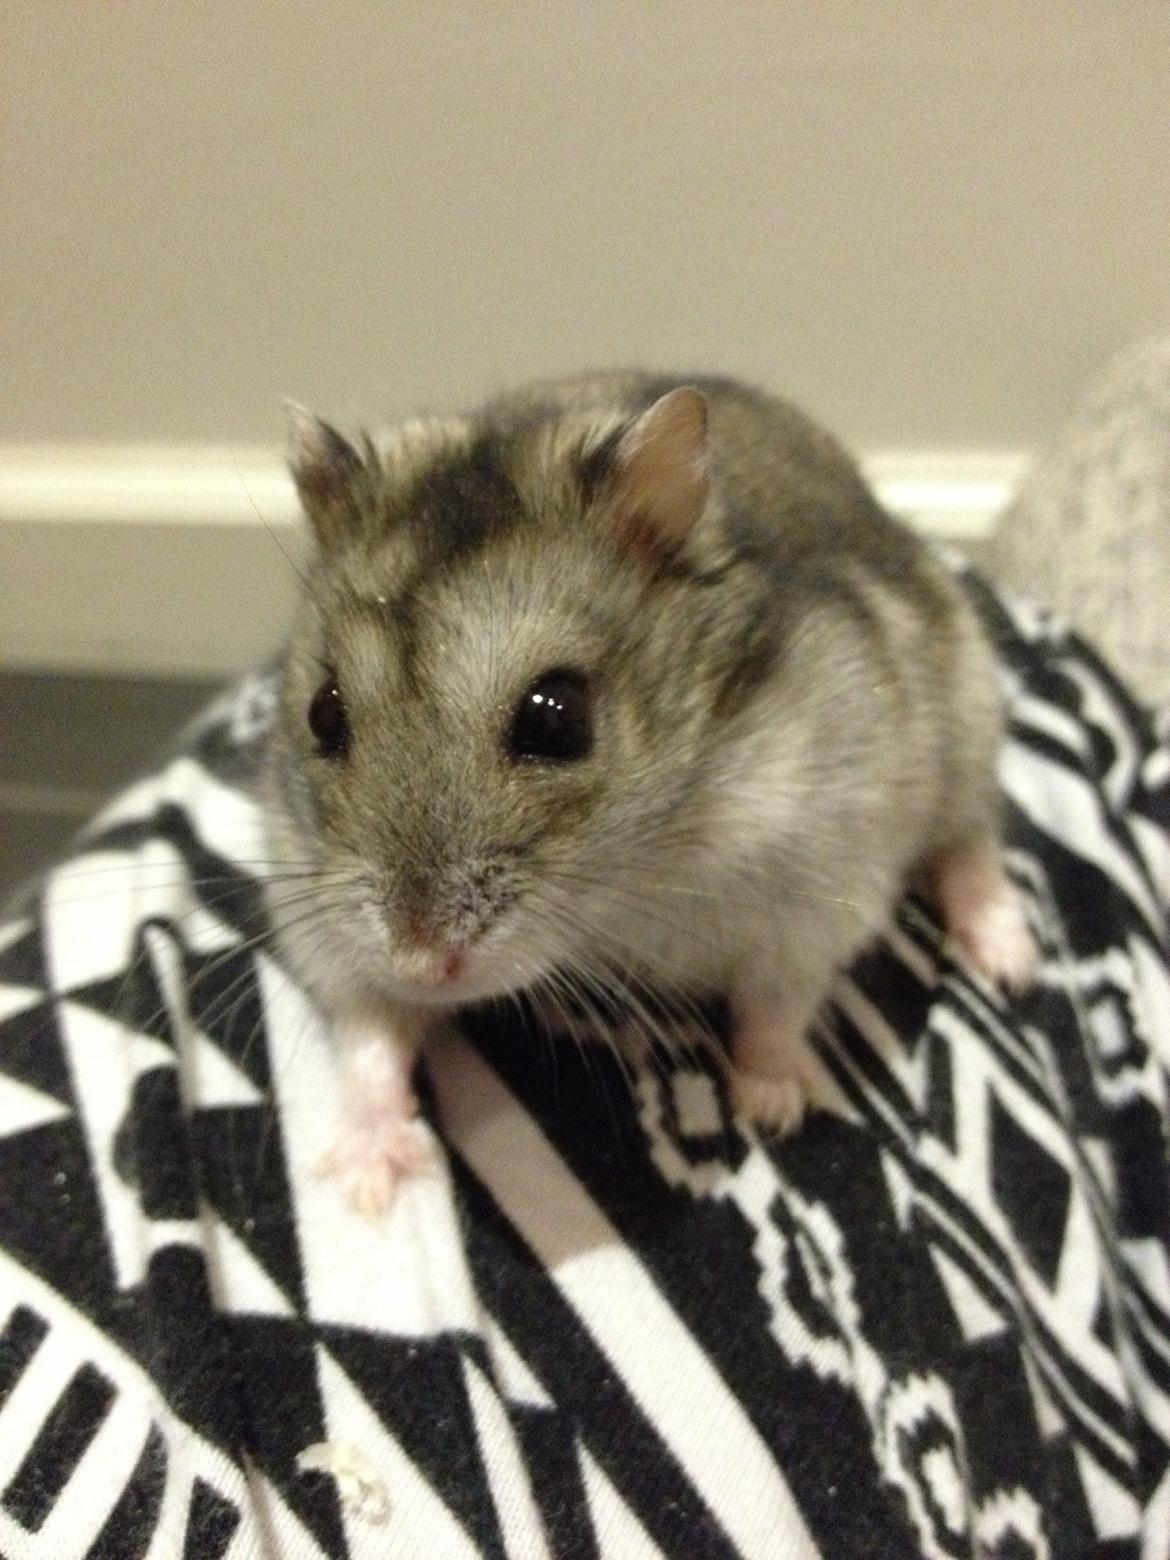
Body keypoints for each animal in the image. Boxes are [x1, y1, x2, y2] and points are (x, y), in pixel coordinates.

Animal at [263, 371, 1035, 1213]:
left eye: (557, 716)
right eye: (323, 712)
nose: (420, 961)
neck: (630, 884)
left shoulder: (817, 898)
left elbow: (775, 1007)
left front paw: (773, 1109)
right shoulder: (325, 927)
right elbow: (370, 1033)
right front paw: (369, 1188)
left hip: (969, 718)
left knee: (972, 842)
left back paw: (1010, 960)